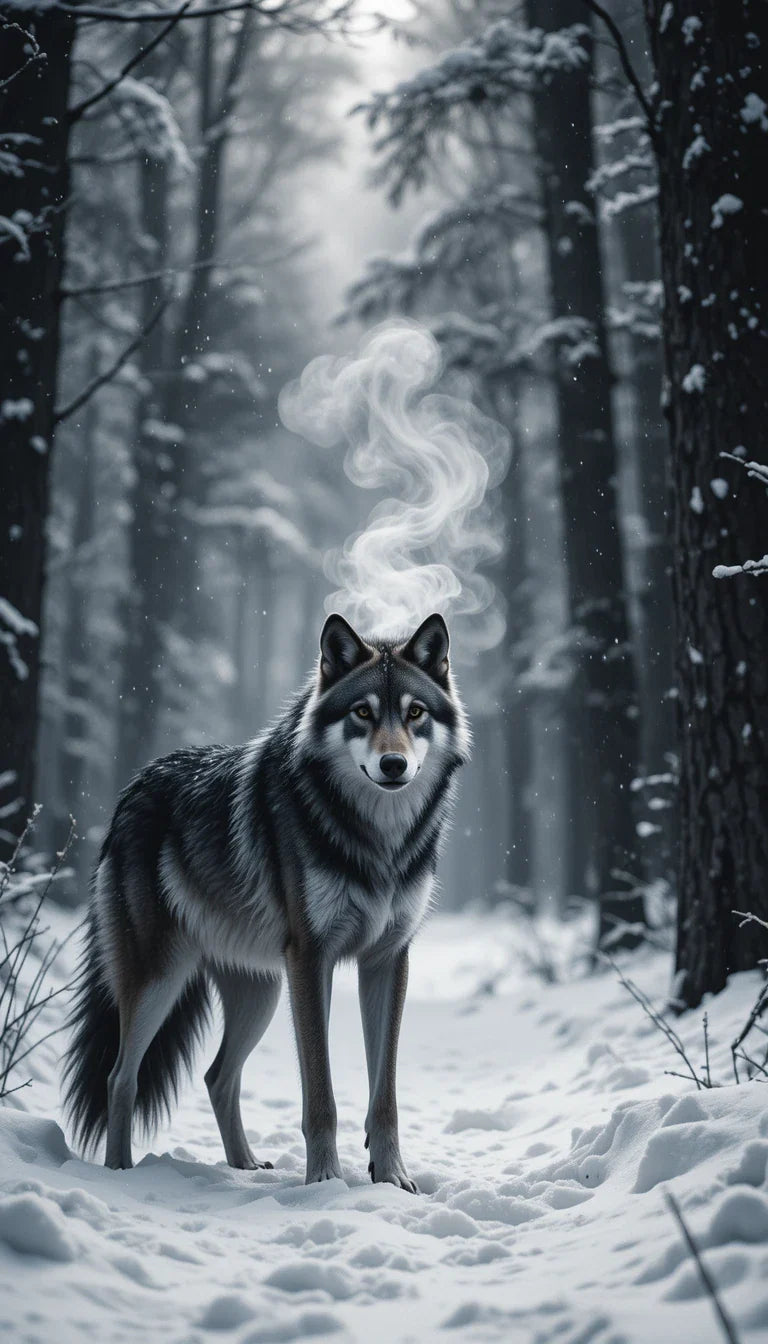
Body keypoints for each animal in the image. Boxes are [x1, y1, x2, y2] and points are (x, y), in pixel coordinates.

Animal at [64, 612, 469, 1190]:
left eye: (415, 713)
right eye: (362, 713)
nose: (393, 765)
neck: (377, 842)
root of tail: (130, 789)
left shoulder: (388, 960)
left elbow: (385, 1097)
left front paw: (392, 1180)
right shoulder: (311, 959)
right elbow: (320, 1095)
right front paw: (325, 1183)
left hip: (262, 993)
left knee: (217, 1077)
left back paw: (244, 1166)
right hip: (161, 980)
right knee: (122, 1077)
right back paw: (121, 1173)